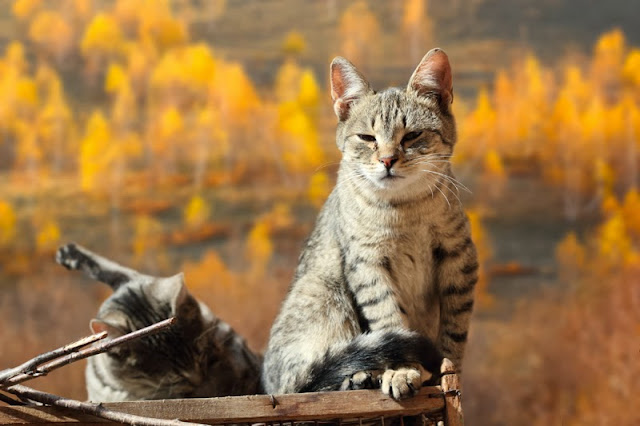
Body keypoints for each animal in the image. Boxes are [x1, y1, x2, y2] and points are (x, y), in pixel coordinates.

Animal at [262, 49, 478, 400]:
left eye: (412, 135)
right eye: (367, 138)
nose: (388, 160)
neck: (404, 211)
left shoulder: (460, 259)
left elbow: (455, 330)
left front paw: (448, 373)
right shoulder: (367, 265)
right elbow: (390, 320)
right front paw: (403, 371)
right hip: (325, 293)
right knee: (305, 381)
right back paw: (359, 377)